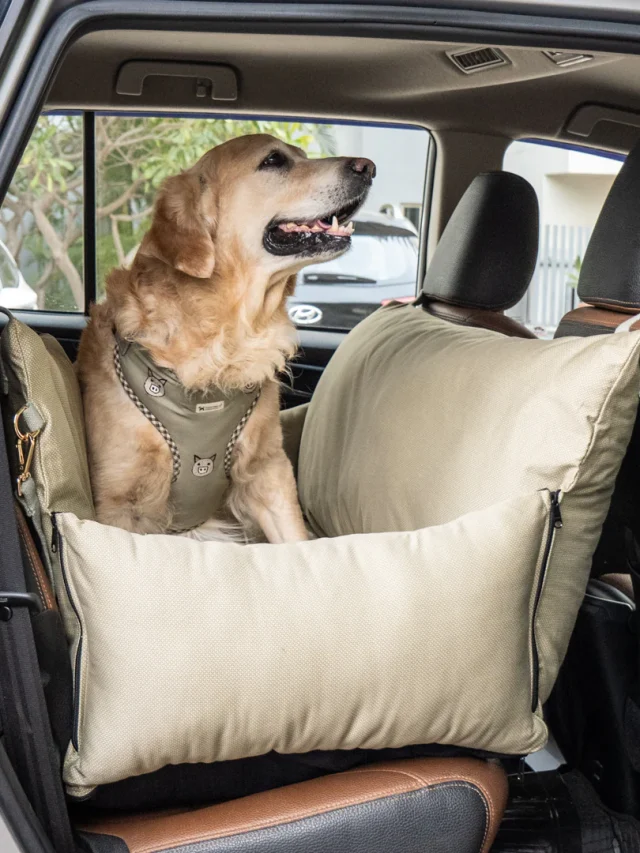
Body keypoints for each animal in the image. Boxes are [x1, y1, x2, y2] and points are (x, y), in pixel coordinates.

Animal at [77, 134, 375, 543]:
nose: (368, 167)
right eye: (273, 160)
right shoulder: (120, 505)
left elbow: (296, 540)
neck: (228, 333)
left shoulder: (268, 471)